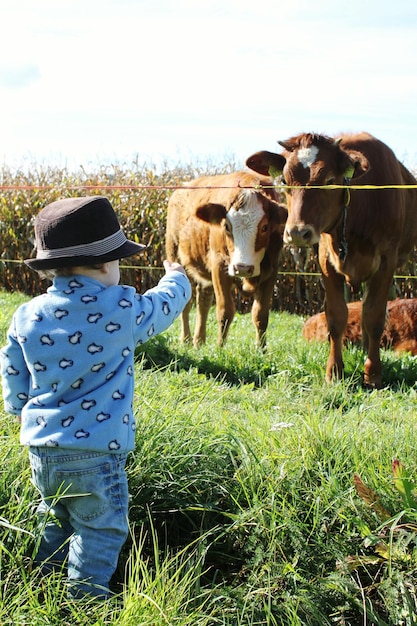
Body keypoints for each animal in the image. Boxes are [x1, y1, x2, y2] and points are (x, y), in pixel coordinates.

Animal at [165, 169, 286, 346]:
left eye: (265, 227)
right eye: (226, 226)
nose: (242, 267)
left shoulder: (271, 269)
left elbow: (260, 315)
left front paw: (261, 349)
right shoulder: (219, 266)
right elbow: (225, 311)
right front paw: (220, 347)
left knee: (203, 301)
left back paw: (199, 341)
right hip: (176, 257)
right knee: (186, 304)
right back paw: (186, 339)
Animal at [245, 132, 416, 386]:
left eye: (329, 180)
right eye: (284, 180)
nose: (297, 232)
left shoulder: (386, 263)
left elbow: (375, 317)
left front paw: (373, 373)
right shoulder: (327, 261)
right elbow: (336, 317)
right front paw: (334, 371)